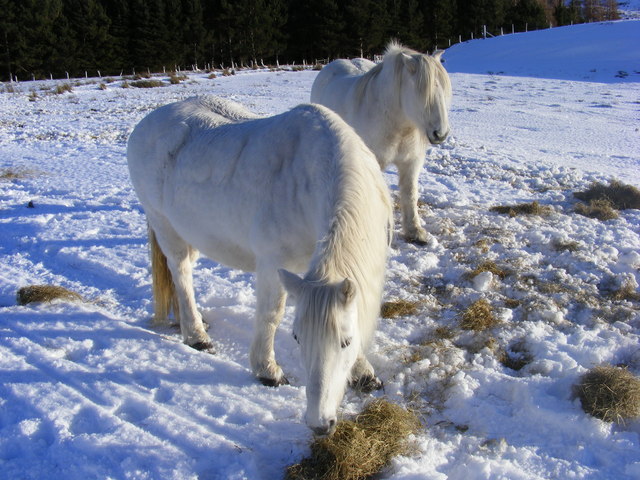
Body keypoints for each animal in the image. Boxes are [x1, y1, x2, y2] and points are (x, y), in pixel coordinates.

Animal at [127, 94, 392, 436]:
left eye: (346, 341)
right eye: (297, 337)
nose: (319, 424)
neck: (308, 179)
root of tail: (145, 123)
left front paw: (363, 373)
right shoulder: (272, 264)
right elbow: (271, 315)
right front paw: (268, 371)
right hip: (165, 226)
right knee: (180, 273)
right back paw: (196, 336)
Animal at [308, 40, 450, 244]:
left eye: (442, 91)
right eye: (422, 93)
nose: (441, 134)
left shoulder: (411, 162)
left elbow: (410, 193)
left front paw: (415, 231)